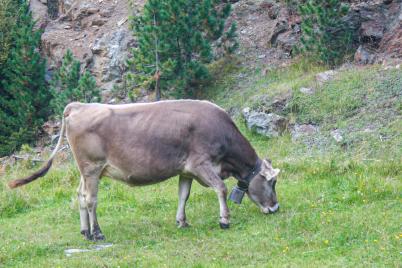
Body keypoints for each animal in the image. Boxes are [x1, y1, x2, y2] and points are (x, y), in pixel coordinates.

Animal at [8, 100, 280, 241]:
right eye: (272, 182)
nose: (275, 208)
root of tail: (77, 105)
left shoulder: (186, 171)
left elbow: (183, 195)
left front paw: (182, 221)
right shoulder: (201, 164)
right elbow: (221, 189)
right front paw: (224, 220)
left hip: (86, 171)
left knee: (79, 196)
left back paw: (85, 231)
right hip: (92, 168)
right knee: (90, 199)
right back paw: (97, 233)